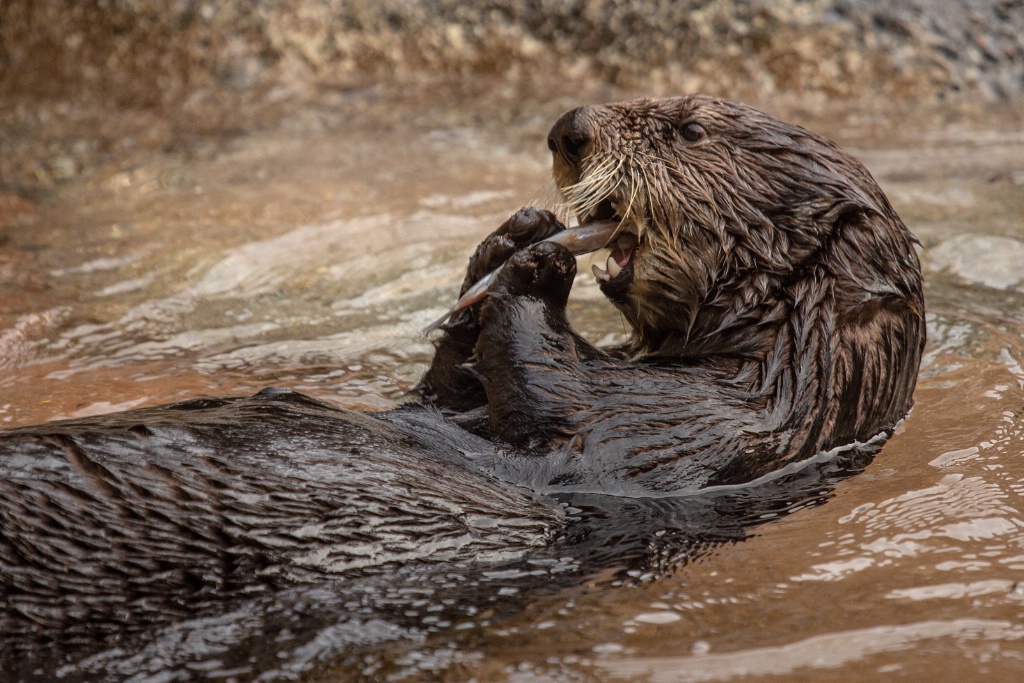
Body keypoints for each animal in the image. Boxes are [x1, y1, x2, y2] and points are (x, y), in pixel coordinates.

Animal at [0, 96, 925, 671]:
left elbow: (550, 401)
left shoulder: (691, 437)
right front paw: (509, 238)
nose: (569, 127)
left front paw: (536, 264)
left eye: (690, 128)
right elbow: (448, 387)